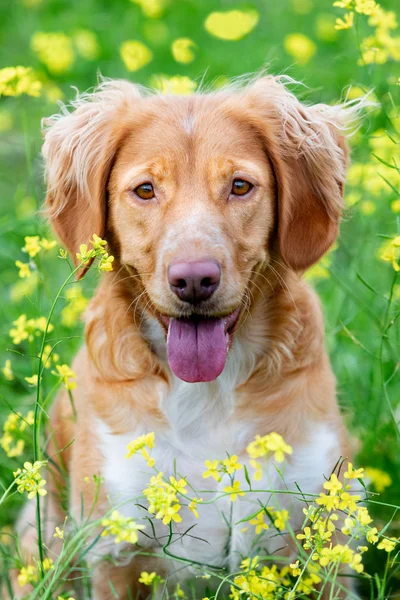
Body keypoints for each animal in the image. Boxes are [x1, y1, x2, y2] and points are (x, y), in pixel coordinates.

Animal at [14, 76, 362, 600]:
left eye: (239, 186)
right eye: (145, 190)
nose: (194, 280)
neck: (207, 393)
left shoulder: (320, 533)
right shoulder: (115, 546)